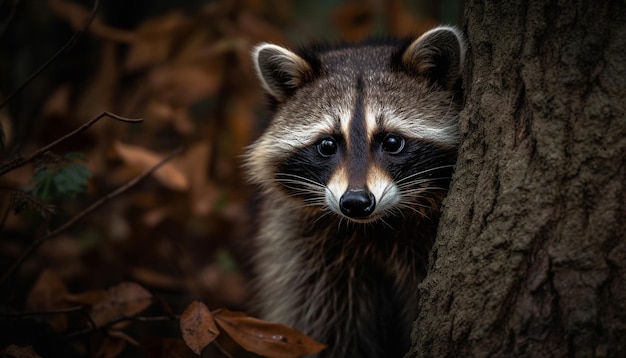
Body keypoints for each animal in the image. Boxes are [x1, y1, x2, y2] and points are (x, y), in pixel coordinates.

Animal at [244, 26, 464, 356]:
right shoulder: (303, 253)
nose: (356, 202)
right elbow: (324, 324)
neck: (376, 228)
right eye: (326, 145)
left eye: (392, 142)